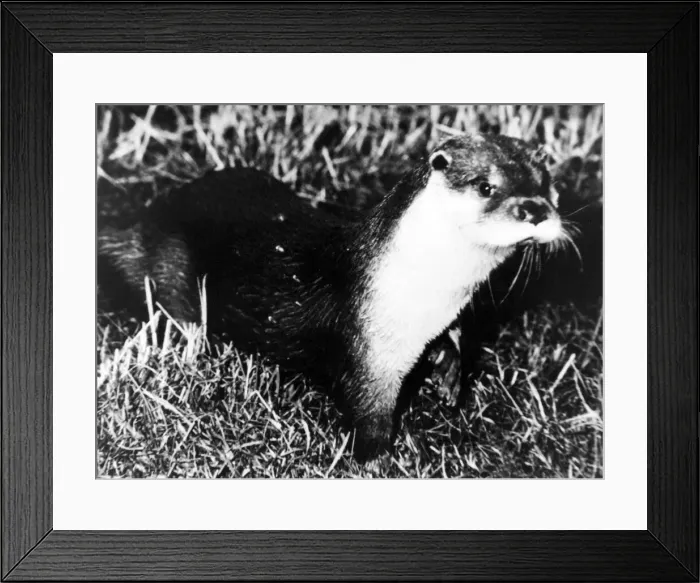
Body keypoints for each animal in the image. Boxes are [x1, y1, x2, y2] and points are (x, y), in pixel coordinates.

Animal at [98, 134, 566, 460]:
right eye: (486, 186)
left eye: (549, 185)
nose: (536, 209)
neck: (422, 296)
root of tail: (145, 223)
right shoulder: (368, 349)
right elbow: (368, 411)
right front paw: (379, 459)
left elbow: (454, 337)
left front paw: (450, 375)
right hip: (173, 269)